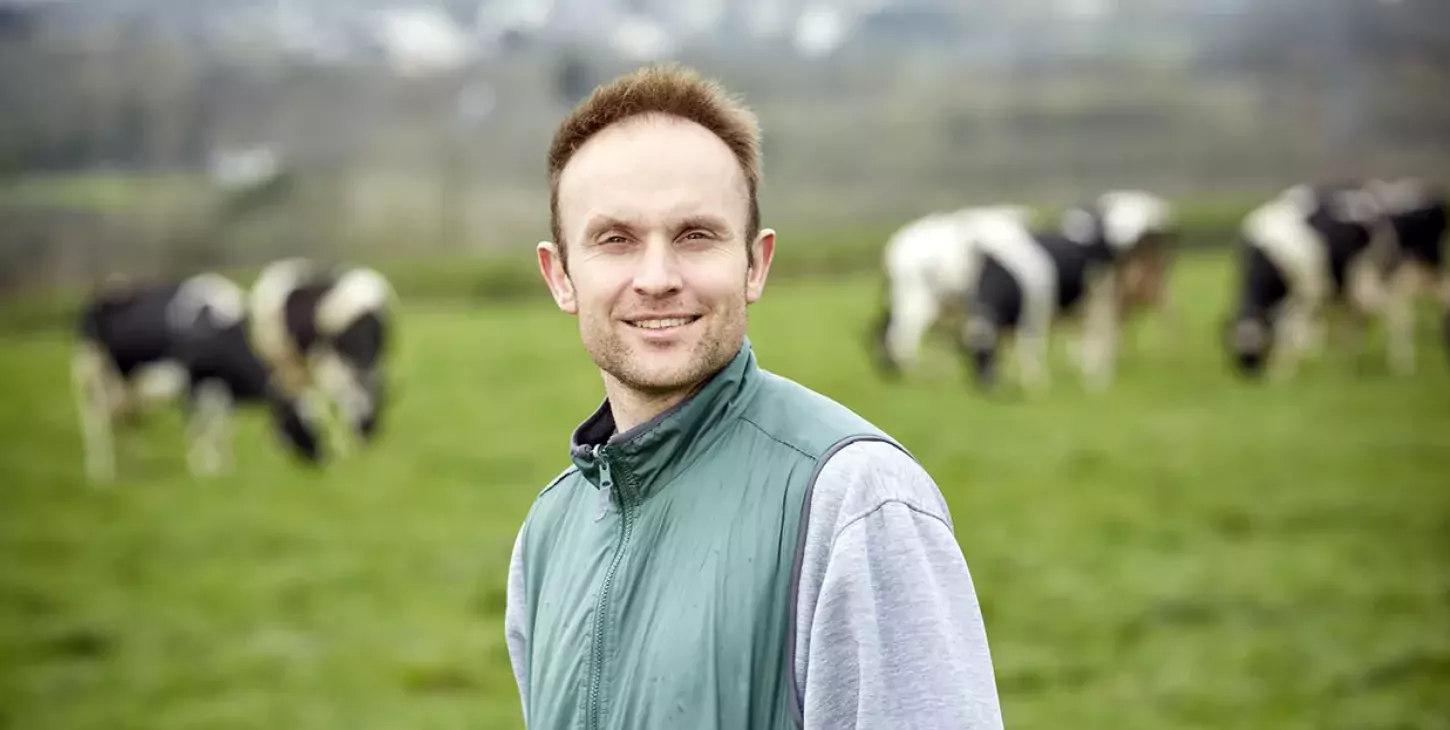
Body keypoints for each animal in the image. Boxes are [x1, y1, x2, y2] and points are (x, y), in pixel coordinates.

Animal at [71, 271, 323, 481]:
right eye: (301, 418)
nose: (323, 455)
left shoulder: (222, 389)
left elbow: (222, 429)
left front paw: (223, 470)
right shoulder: (193, 384)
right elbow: (199, 427)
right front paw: (201, 471)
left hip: (123, 384)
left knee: (119, 417)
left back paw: (128, 466)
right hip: (91, 373)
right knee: (95, 418)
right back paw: (100, 471)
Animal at [962, 190, 1177, 394]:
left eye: (989, 355)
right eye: (972, 358)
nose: (986, 386)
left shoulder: (1035, 319)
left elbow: (1030, 352)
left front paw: (1038, 387)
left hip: (1106, 297)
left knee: (1105, 334)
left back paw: (1100, 379)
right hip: (1092, 302)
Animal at [1223, 182, 1415, 380]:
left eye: (1261, 346)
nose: (1250, 374)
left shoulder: (1307, 294)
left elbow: (1288, 330)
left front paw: (1280, 374)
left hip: (1365, 281)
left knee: (1397, 312)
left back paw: (1402, 364)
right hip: (1348, 287)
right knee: (1356, 322)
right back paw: (1348, 368)